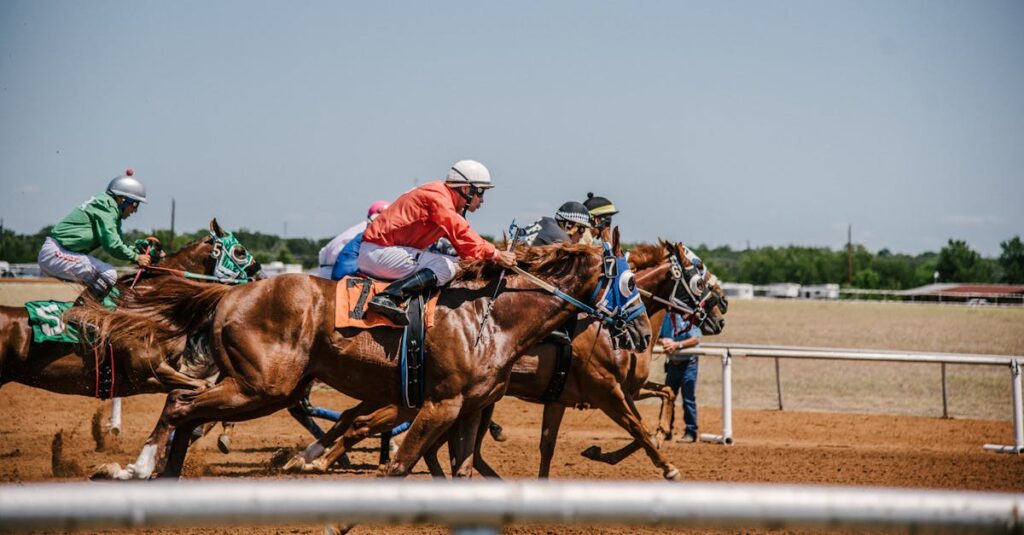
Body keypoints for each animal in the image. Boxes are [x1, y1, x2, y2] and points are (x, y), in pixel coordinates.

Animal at [75, 228, 652, 480]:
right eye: (629, 282)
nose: (645, 335)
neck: (490, 318)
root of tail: (232, 293)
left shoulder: (467, 409)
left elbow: (462, 469)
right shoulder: (438, 403)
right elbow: (397, 464)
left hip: (262, 385)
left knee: (188, 409)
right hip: (263, 386)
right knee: (182, 405)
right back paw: (138, 468)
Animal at [281, 239, 727, 481]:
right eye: (699, 275)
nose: (721, 311)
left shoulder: (570, 396)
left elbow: (659, 397)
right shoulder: (605, 388)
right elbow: (639, 429)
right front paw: (664, 465)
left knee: (362, 422)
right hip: (412, 397)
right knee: (364, 424)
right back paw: (315, 460)